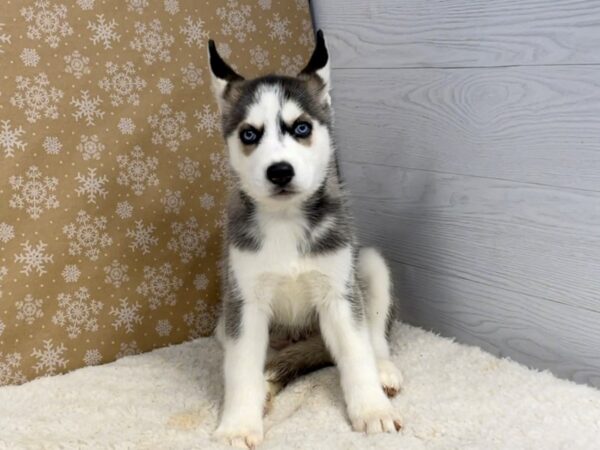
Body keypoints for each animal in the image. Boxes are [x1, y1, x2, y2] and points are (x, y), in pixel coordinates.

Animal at [207, 29, 404, 448]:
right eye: (249, 134)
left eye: (301, 128)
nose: (280, 171)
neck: (285, 220)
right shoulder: (244, 303)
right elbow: (242, 367)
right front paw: (238, 424)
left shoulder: (339, 295)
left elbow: (356, 352)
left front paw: (372, 410)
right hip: (225, 321)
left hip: (368, 265)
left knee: (373, 336)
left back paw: (384, 370)